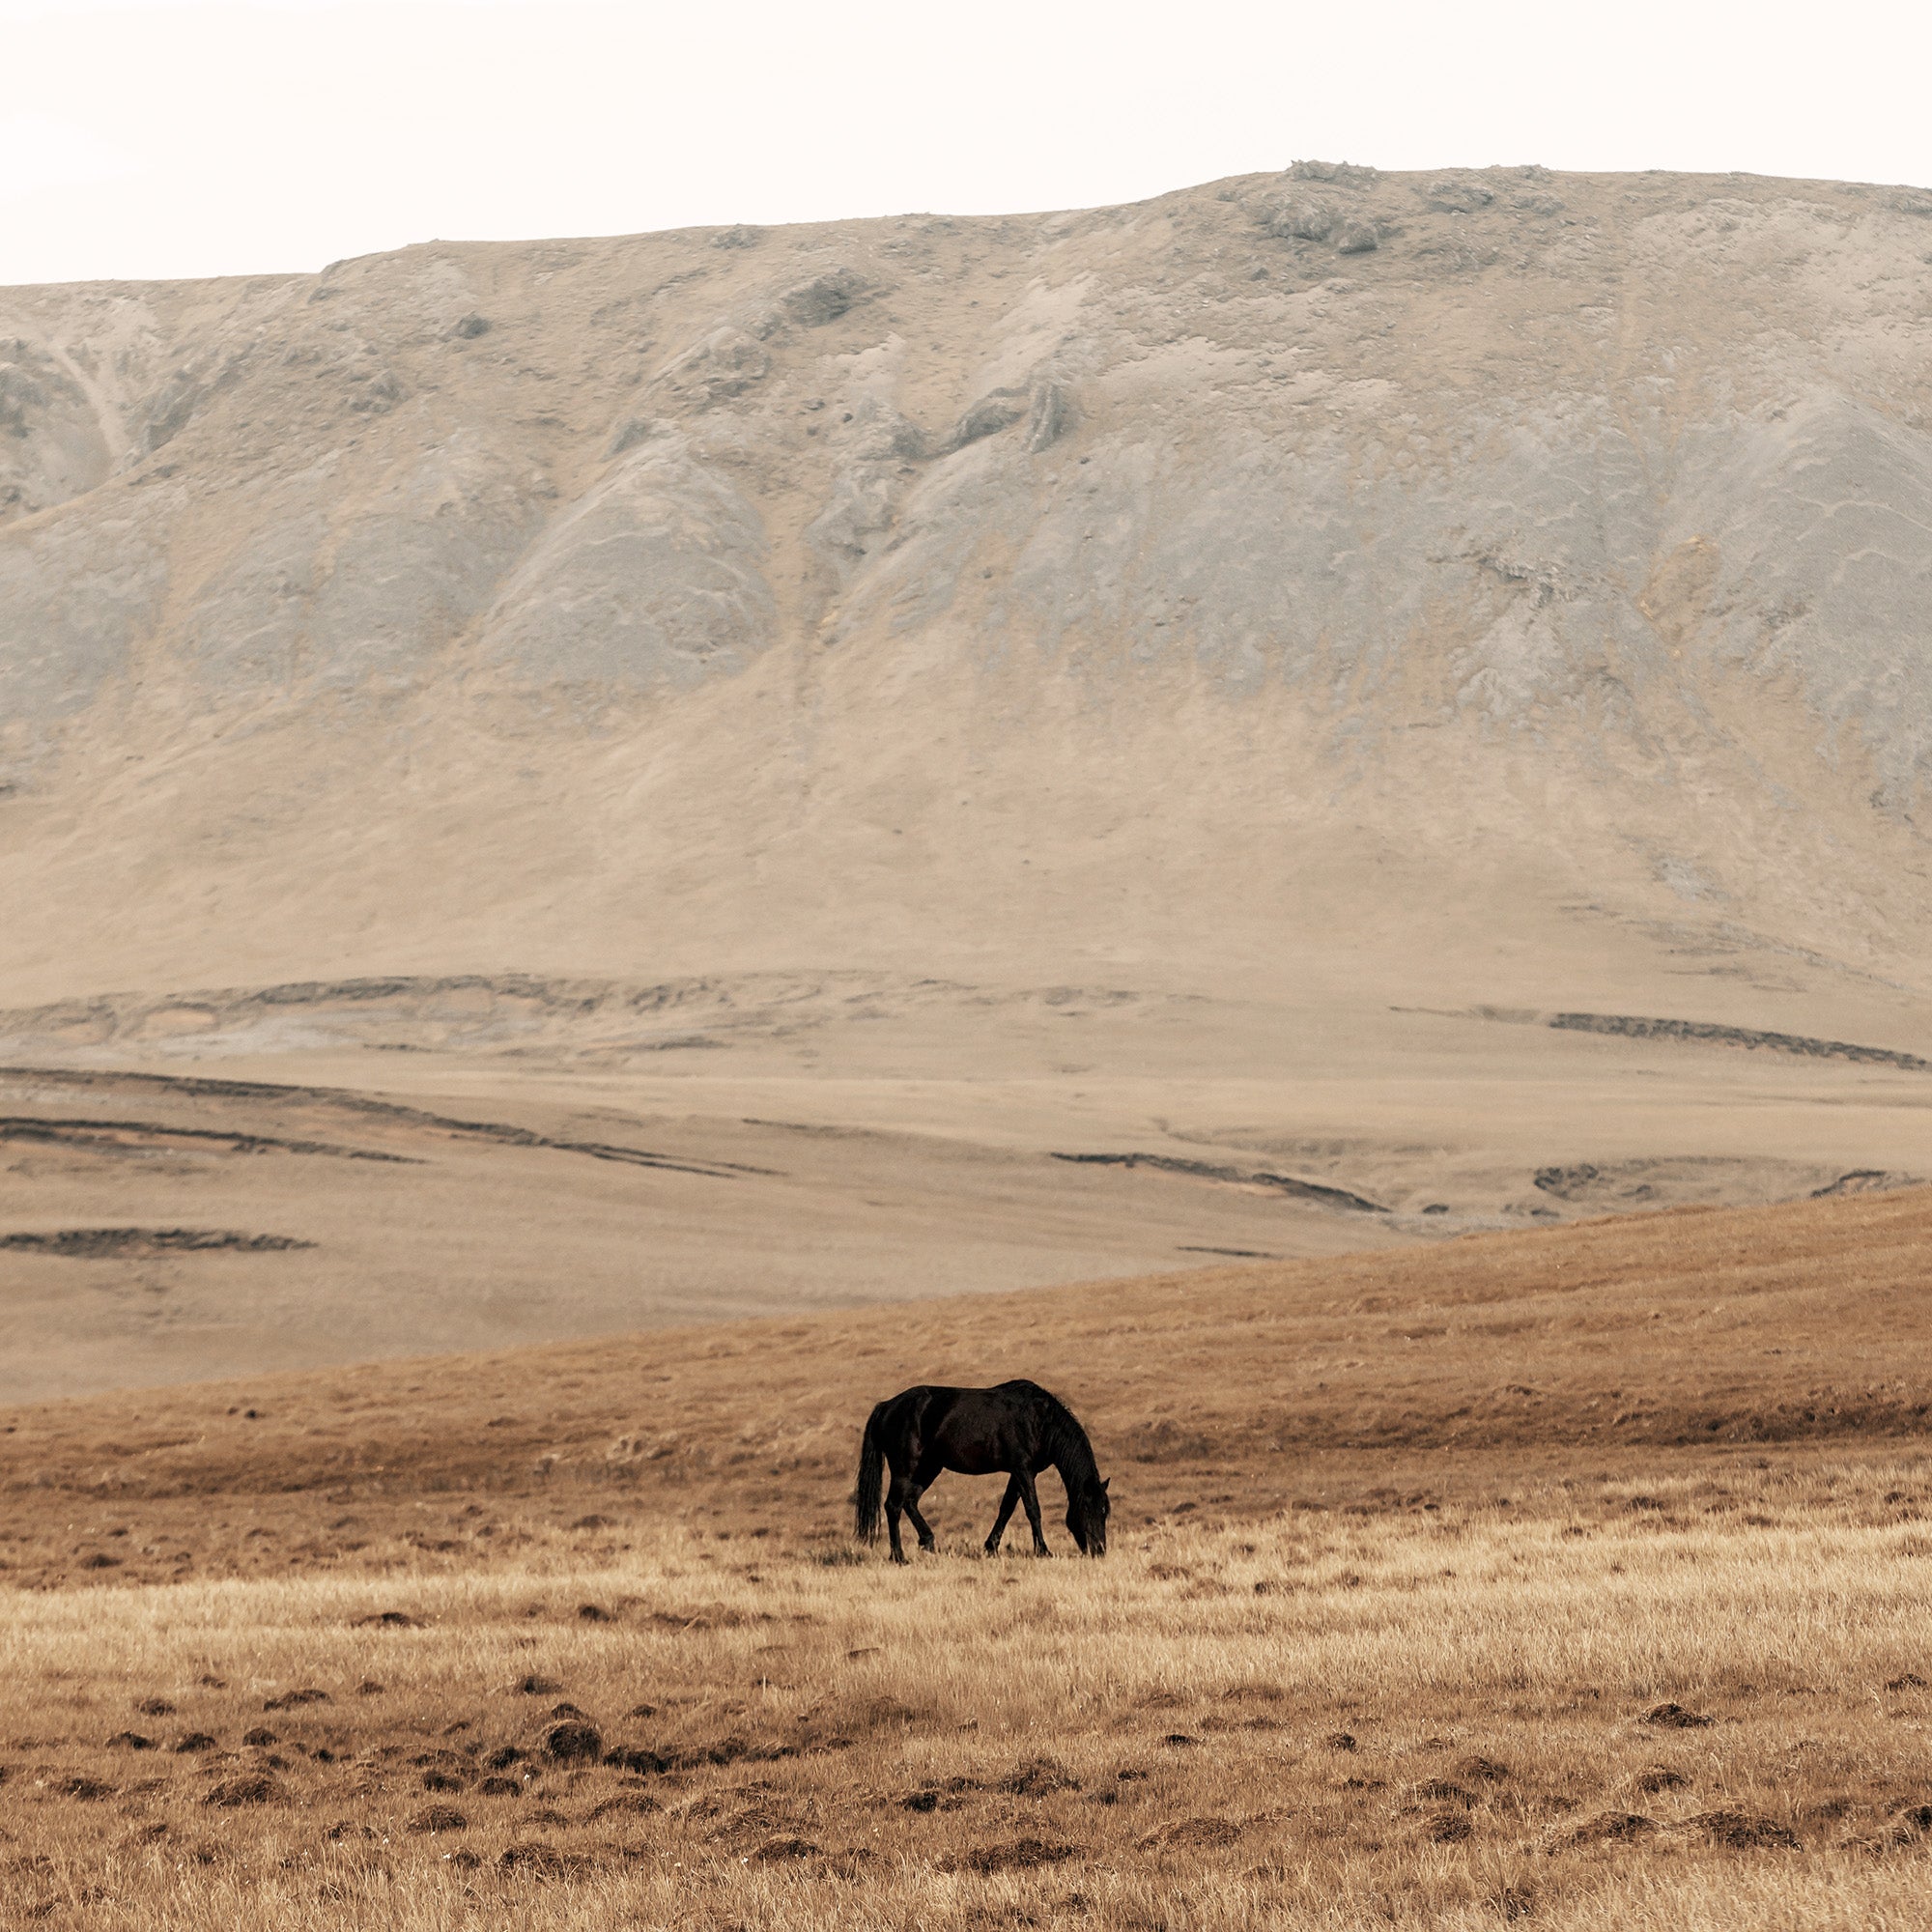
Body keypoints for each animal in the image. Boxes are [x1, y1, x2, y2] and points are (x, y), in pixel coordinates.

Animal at [853, 1378, 1110, 1563]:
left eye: (1105, 1512)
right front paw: (1043, 1551)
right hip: (905, 1469)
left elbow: (1007, 1508)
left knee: (910, 1502)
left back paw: (927, 1541)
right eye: (1089, 1508)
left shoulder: (1020, 1472)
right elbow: (1032, 1509)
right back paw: (899, 1556)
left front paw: (991, 1547)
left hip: (927, 1468)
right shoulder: (1022, 1469)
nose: (1099, 1550)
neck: (1038, 1420)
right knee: (893, 1506)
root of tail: (887, 1406)